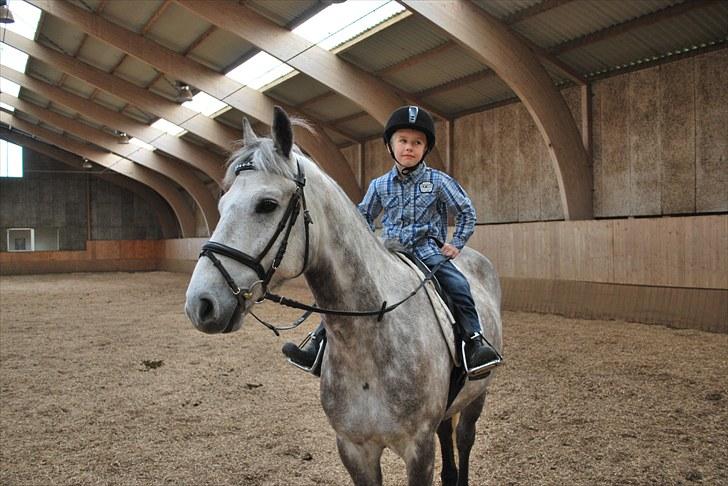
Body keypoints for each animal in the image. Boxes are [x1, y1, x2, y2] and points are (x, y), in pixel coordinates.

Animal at [185, 107, 504, 486]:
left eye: (267, 204)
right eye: (221, 204)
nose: (201, 304)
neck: (368, 340)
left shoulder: (418, 449)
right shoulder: (354, 449)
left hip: (477, 395)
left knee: (464, 440)